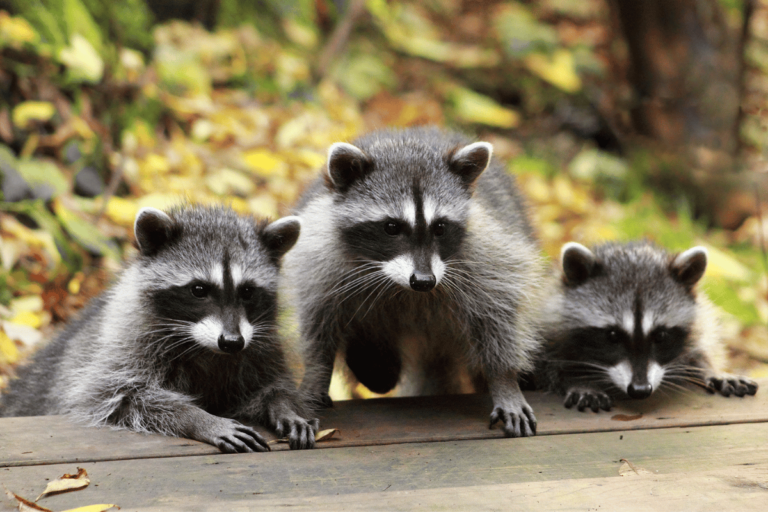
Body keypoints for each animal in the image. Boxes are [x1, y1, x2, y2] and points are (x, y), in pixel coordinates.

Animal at [0, 204, 318, 452]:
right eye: (199, 290)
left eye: (248, 291)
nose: (231, 341)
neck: (205, 348)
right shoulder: (126, 344)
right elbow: (122, 397)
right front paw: (198, 418)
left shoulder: (260, 346)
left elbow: (271, 385)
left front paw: (283, 405)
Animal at [284, 127, 544, 436]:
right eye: (391, 227)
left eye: (440, 227)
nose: (423, 281)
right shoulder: (319, 258)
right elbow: (318, 324)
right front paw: (317, 373)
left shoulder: (488, 255)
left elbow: (498, 314)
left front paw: (504, 379)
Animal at [540, 240, 756, 412]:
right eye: (612, 335)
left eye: (660, 336)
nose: (640, 390)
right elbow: (551, 365)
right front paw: (579, 380)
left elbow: (699, 346)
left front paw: (710, 368)